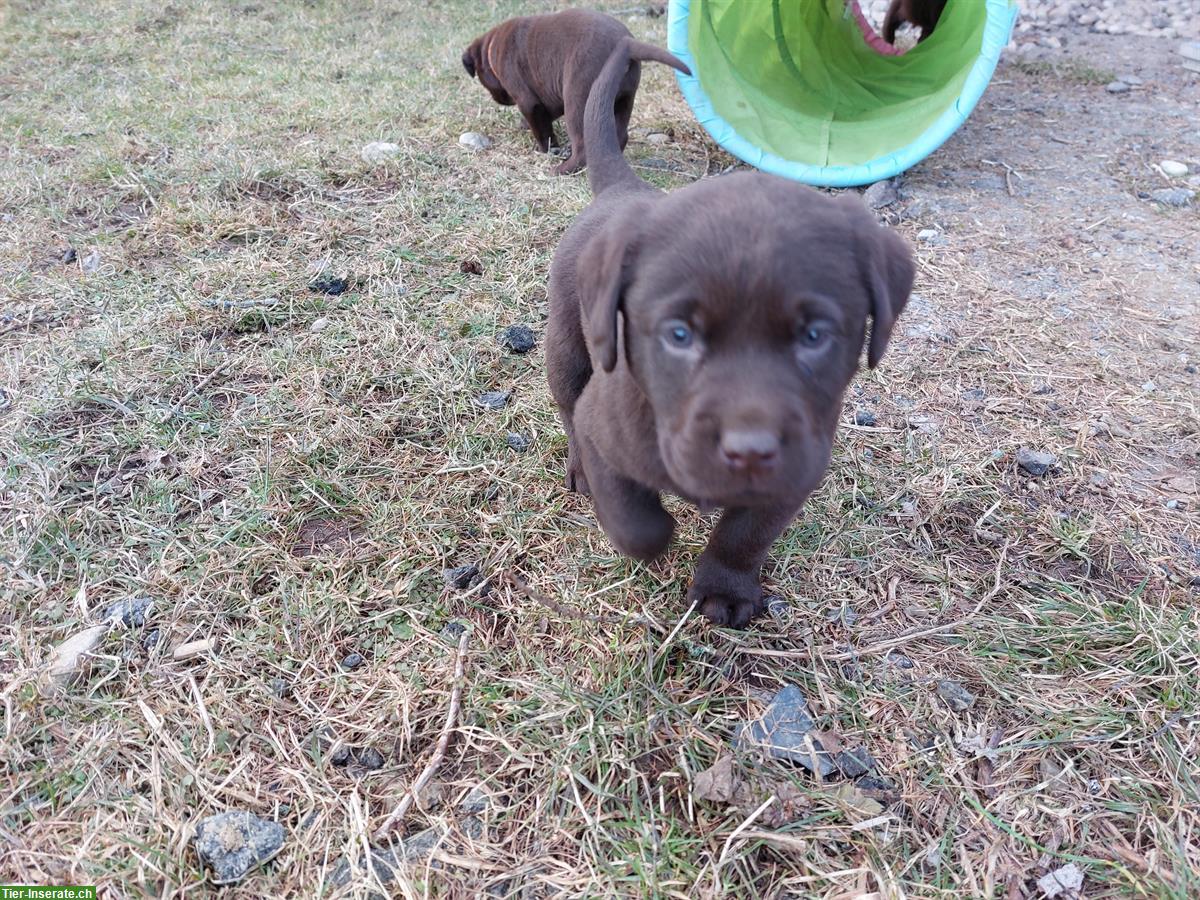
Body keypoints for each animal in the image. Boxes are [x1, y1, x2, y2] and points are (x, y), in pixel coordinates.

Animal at [460, 9, 686, 175]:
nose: (499, 100)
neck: (492, 48)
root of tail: (627, 46)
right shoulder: (549, 98)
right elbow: (545, 116)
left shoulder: (527, 99)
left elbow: (542, 130)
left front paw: (546, 149)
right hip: (624, 100)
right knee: (619, 134)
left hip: (579, 100)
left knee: (583, 145)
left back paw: (562, 169)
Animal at [549, 37, 912, 628]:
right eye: (678, 335)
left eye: (814, 336)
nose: (750, 451)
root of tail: (626, 187)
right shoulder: (603, 424)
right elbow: (634, 519)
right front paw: (654, 533)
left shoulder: (795, 469)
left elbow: (745, 535)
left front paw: (725, 589)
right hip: (567, 346)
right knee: (566, 400)